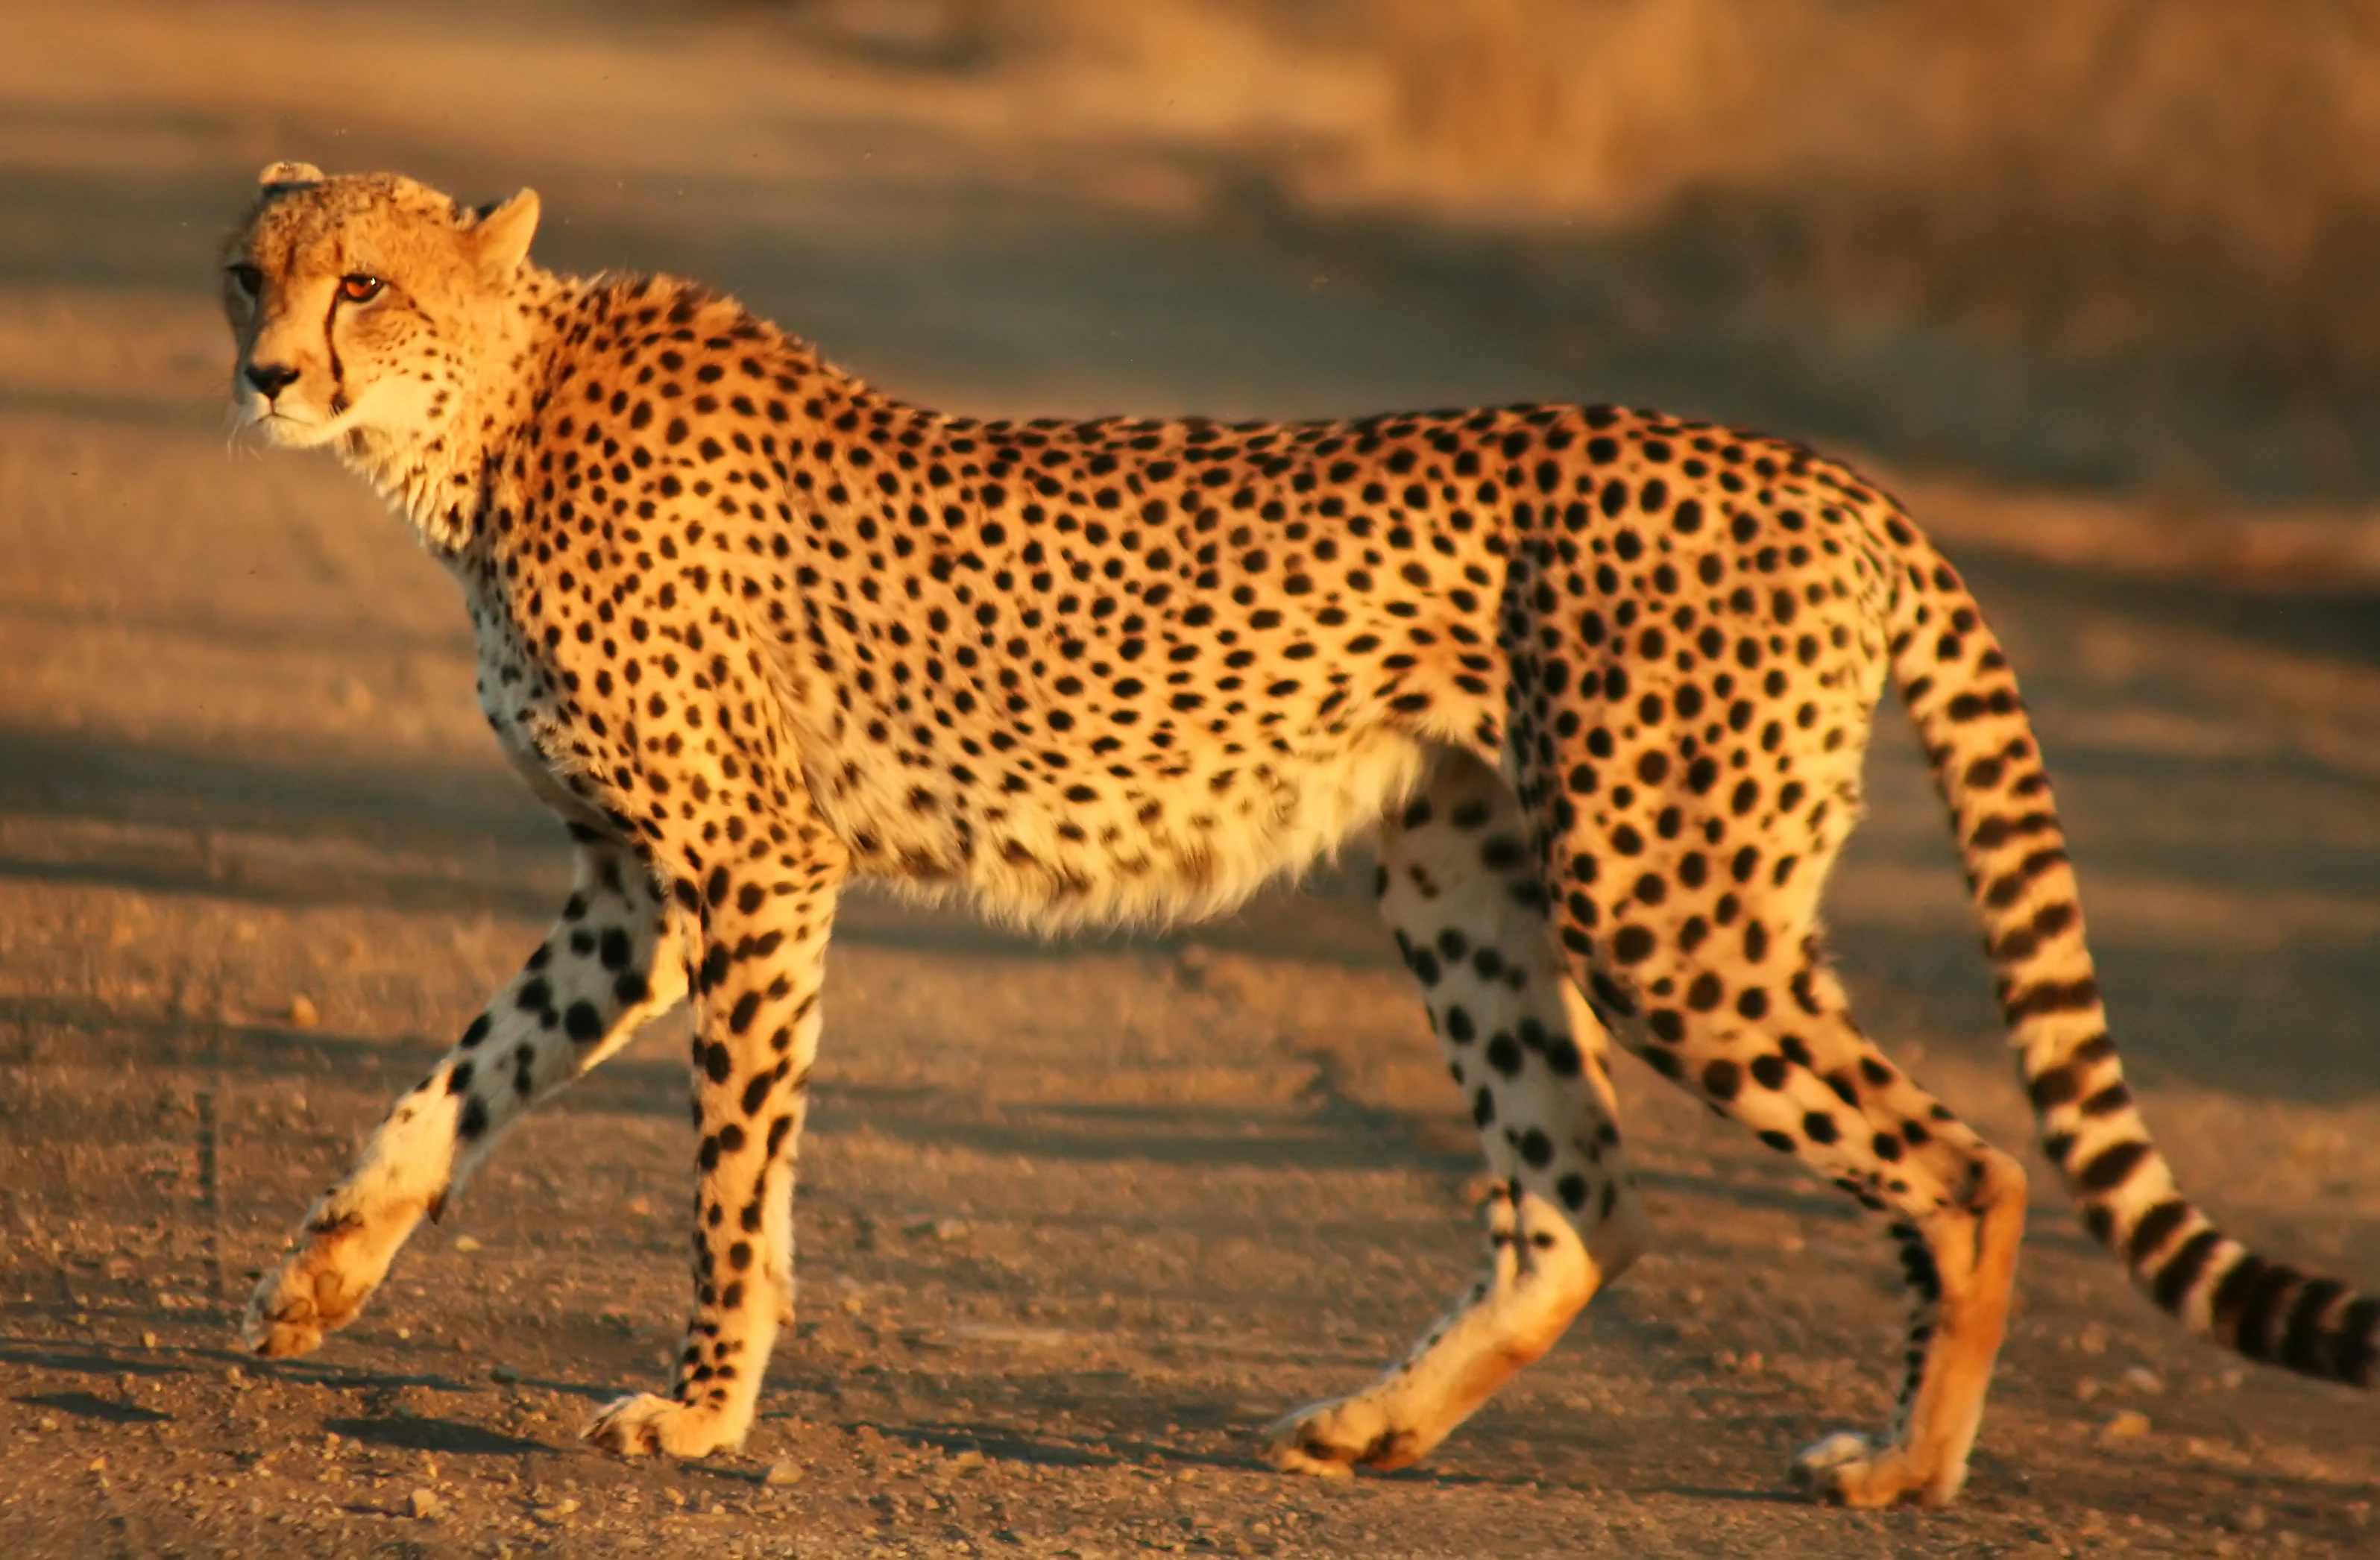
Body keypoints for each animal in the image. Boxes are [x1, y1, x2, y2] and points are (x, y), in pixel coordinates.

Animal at [219, 162, 2376, 1509]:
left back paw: (1908, 1462)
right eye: (255, 271)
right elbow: (464, 1073)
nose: (261, 373)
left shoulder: (754, 864)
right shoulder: (633, 888)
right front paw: (321, 1275)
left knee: (1969, 1160)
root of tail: (1826, 469)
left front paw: (698, 1408)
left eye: (365, 287)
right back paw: (1376, 1424)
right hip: (1466, 874)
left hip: (1663, 901)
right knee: (1578, 1192)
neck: (486, 420)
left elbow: (734, 1171)